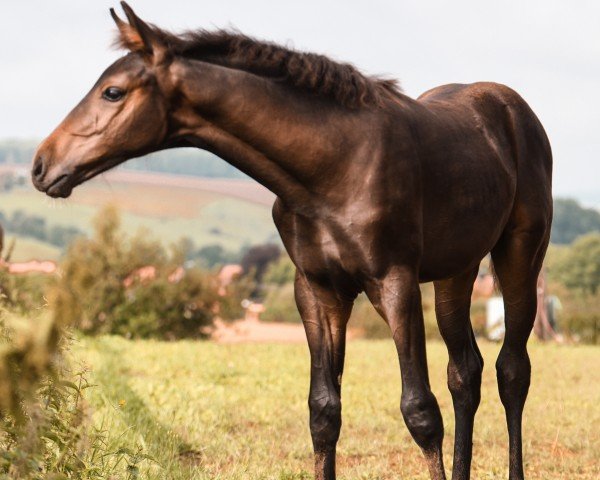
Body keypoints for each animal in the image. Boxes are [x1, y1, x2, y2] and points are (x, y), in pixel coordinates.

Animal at [29, 4, 552, 480]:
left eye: (112, 91)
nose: (41, 165)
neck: (334, 167)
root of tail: (512, 110)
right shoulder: (318, 291)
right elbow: (324, 412)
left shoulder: (395, 283)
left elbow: (419, 411)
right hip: (456, 272)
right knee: (465, 371)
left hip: (520, 255)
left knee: (512, 370)